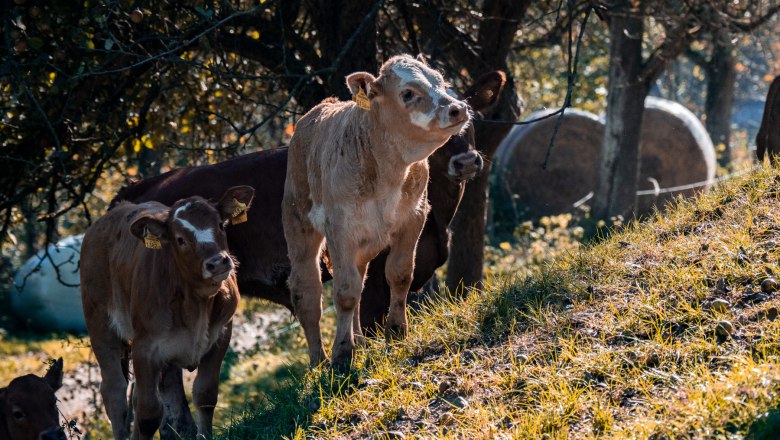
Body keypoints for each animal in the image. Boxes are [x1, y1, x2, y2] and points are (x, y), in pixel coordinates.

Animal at [80, 187, 253, 440]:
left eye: (221, 225)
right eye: (180, 239)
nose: (218, 262)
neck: (196, 303)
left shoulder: (221, 333)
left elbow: (205, 394)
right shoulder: (145, 347)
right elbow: (149, 413)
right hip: (100, 325)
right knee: (115, 393)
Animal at [282, 54, 472, 368]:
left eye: (441, 82)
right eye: (407, 93)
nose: (457, 109)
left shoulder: (413, 218)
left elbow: (399, 274)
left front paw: (395, 332)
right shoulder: (340, 229)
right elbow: (344, 292)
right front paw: (341, 354)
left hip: (366, 241)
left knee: (360, 279)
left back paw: (359, 340)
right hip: (299, 227)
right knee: (307, 293)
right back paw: (318, 360)